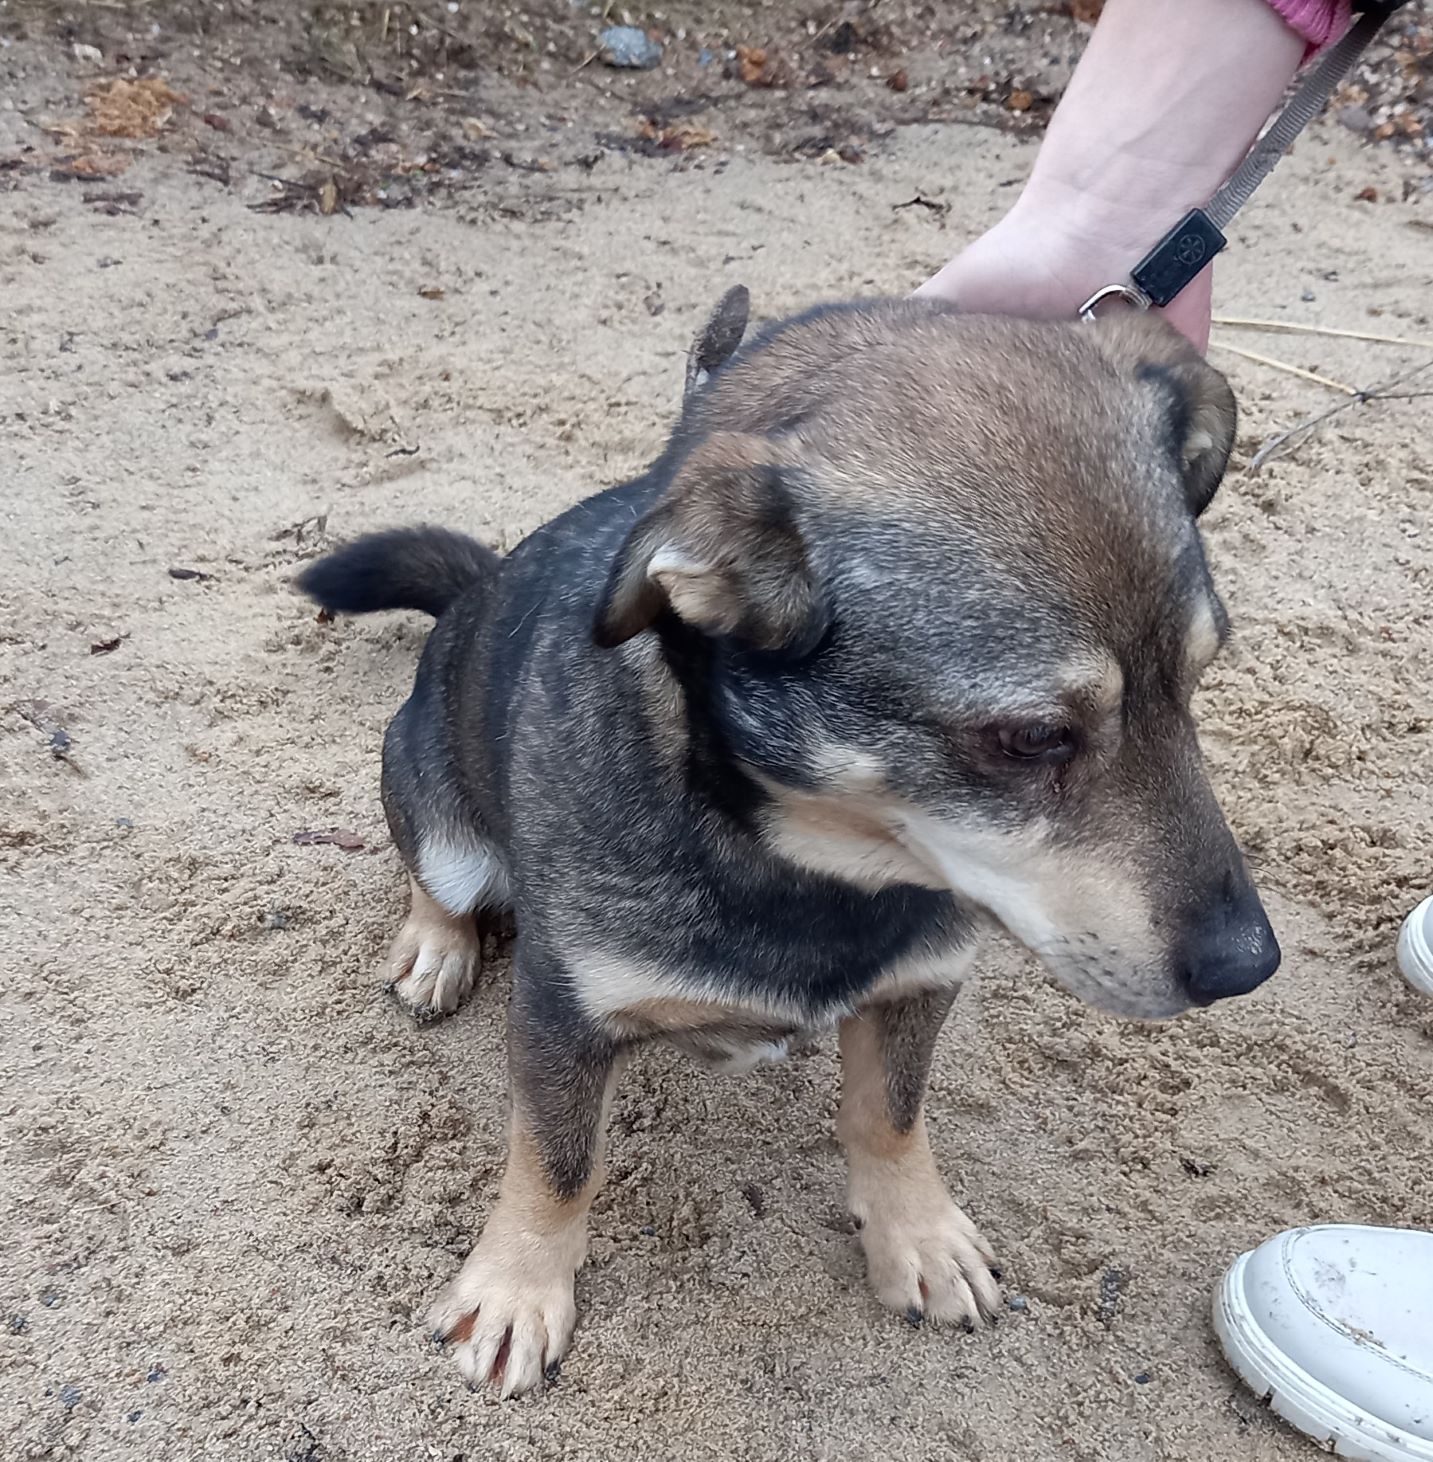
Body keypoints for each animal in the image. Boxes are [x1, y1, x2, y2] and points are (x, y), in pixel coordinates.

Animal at [297, 291, 1280, 1397]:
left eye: (1197, 680)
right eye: (1031, 737)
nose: (1247, 964)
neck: (817, 863)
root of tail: (476, 587)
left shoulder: (918, 980)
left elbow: (888, 1117)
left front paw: (915, 1234)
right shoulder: (562, 1012)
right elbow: (555, 1162)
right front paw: (516, 1288)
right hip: (435, 803)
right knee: (438, 877)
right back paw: (436, 945)